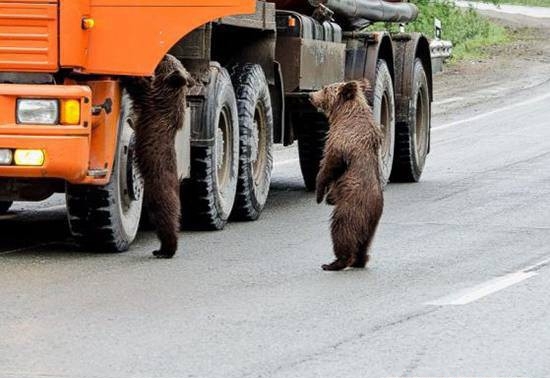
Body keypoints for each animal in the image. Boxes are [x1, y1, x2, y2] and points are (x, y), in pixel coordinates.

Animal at [123, 54, 196, 258]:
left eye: (166, 60)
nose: (166, 54)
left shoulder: (152, 99)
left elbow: (139, 86)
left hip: (158, 193)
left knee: (165, 221)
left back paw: (164, 250)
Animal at [312, 78, 386, 270]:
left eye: (324, 88)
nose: (310, 95)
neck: (343, 115)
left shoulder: (343, 140)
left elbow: (330, 164)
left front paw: (319, 194)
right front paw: (328, 197)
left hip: (351, 208)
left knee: (341, 231)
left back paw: (334, 263)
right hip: (370, 227)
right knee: (363, 244)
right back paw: (359, 261)